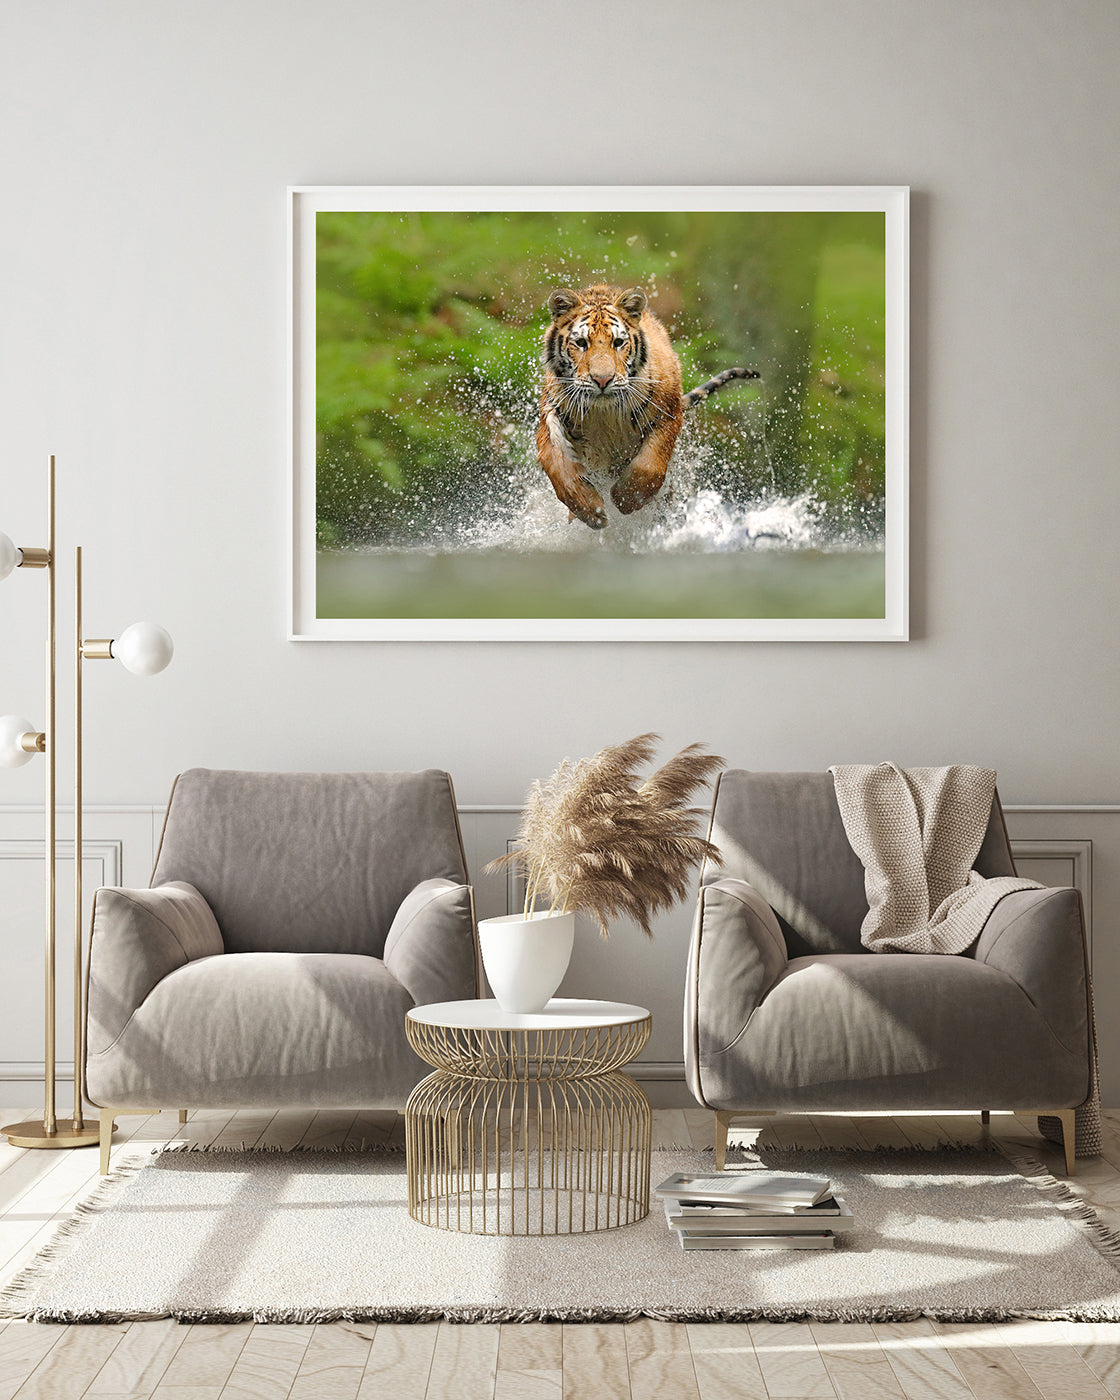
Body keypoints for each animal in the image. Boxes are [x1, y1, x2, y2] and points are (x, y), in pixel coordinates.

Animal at [536, 284, 759, 529]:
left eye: (618, 343)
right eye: (581, 343)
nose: (603, 380)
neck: (603, 413)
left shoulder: (668, 414)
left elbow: (650, 464)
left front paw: (625, 499)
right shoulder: (550, 415)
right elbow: (556, 465)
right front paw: (590, 510)